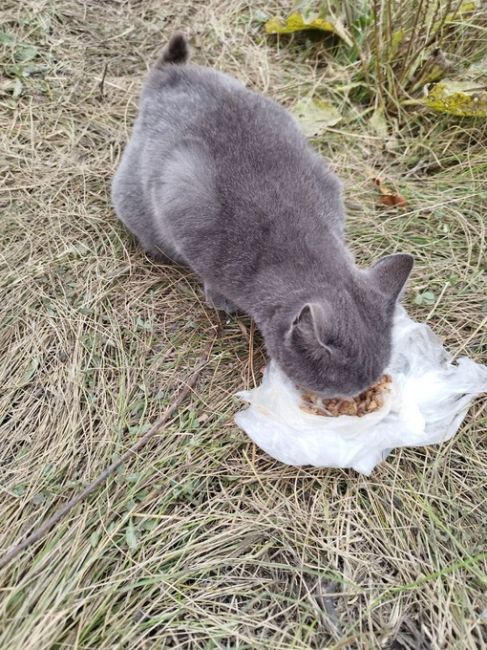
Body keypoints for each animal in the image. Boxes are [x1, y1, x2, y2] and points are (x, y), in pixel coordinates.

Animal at [112, 36, 414, 400]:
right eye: (340, 393)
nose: (360, 397)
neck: (305, 244)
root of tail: (172, 74)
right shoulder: (189, 214)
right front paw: (220, 299)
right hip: (136, 196)